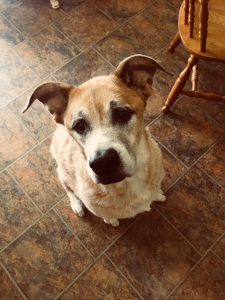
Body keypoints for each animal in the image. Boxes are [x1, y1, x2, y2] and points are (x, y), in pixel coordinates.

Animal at [22, 54, 166, 227]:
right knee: (68, 189)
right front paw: (111, 220)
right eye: (79, 126)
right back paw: (77, 205)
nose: (103, 162)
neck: (125, 185)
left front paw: (158, 195)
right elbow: (106, 215)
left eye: (122, 114)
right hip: (62, 172)